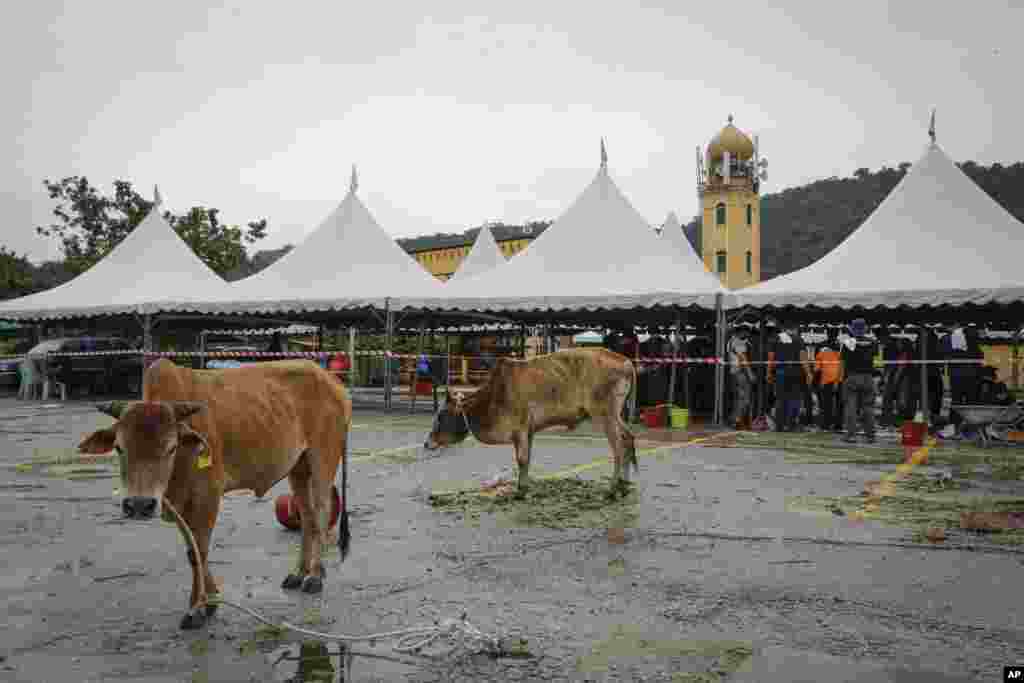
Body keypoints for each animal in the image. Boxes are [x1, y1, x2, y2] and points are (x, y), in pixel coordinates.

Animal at [77, 358, 354, 630]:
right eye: (119, 448)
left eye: (171, 448)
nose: (139, 504)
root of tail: (333, 382)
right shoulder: (178, 504)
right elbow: (192, 549)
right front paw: (211, 600)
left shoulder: (208, 496)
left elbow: (198, 551)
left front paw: (197, 608)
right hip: (298, 468)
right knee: (307, 517)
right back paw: (299, 573)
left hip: (323, 459)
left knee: (321, 512)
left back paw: (315, 575)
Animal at [423, 350, 638, 499]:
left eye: (441, 415)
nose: (427, 443)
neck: (494, 396)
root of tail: (626, 361)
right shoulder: (529, 432)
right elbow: (526, 461)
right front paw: (524, 487)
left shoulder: (519, 431)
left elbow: (521, 460)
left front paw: (520, 492)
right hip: (615, 416)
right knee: (628, 438)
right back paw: (624, 486)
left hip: (605, 416)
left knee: (619, 448)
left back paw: (612, 490)